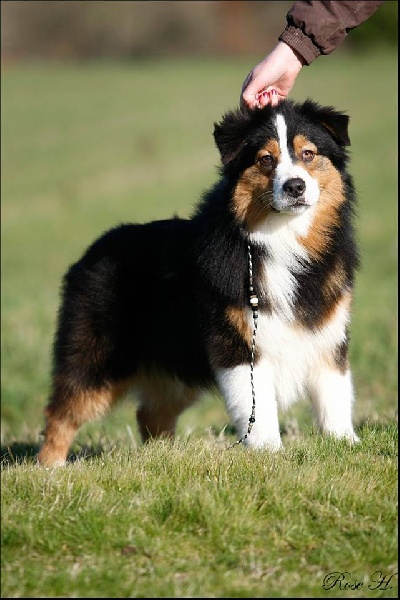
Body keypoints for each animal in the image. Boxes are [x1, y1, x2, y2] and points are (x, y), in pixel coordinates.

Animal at [39, 98, 360, 466]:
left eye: (308, 153)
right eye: (265, 159)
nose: (295, 186)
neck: (284, 239)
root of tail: (90, 252)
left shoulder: (327, 333)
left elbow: (335, 396)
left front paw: (347, 445)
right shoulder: (237, 343)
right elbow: (258, 408)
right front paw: (270, 455)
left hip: (173, 362)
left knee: (151, 414)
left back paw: (164, 456)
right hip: (97, 357)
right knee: (63, 411)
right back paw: (50, 469)